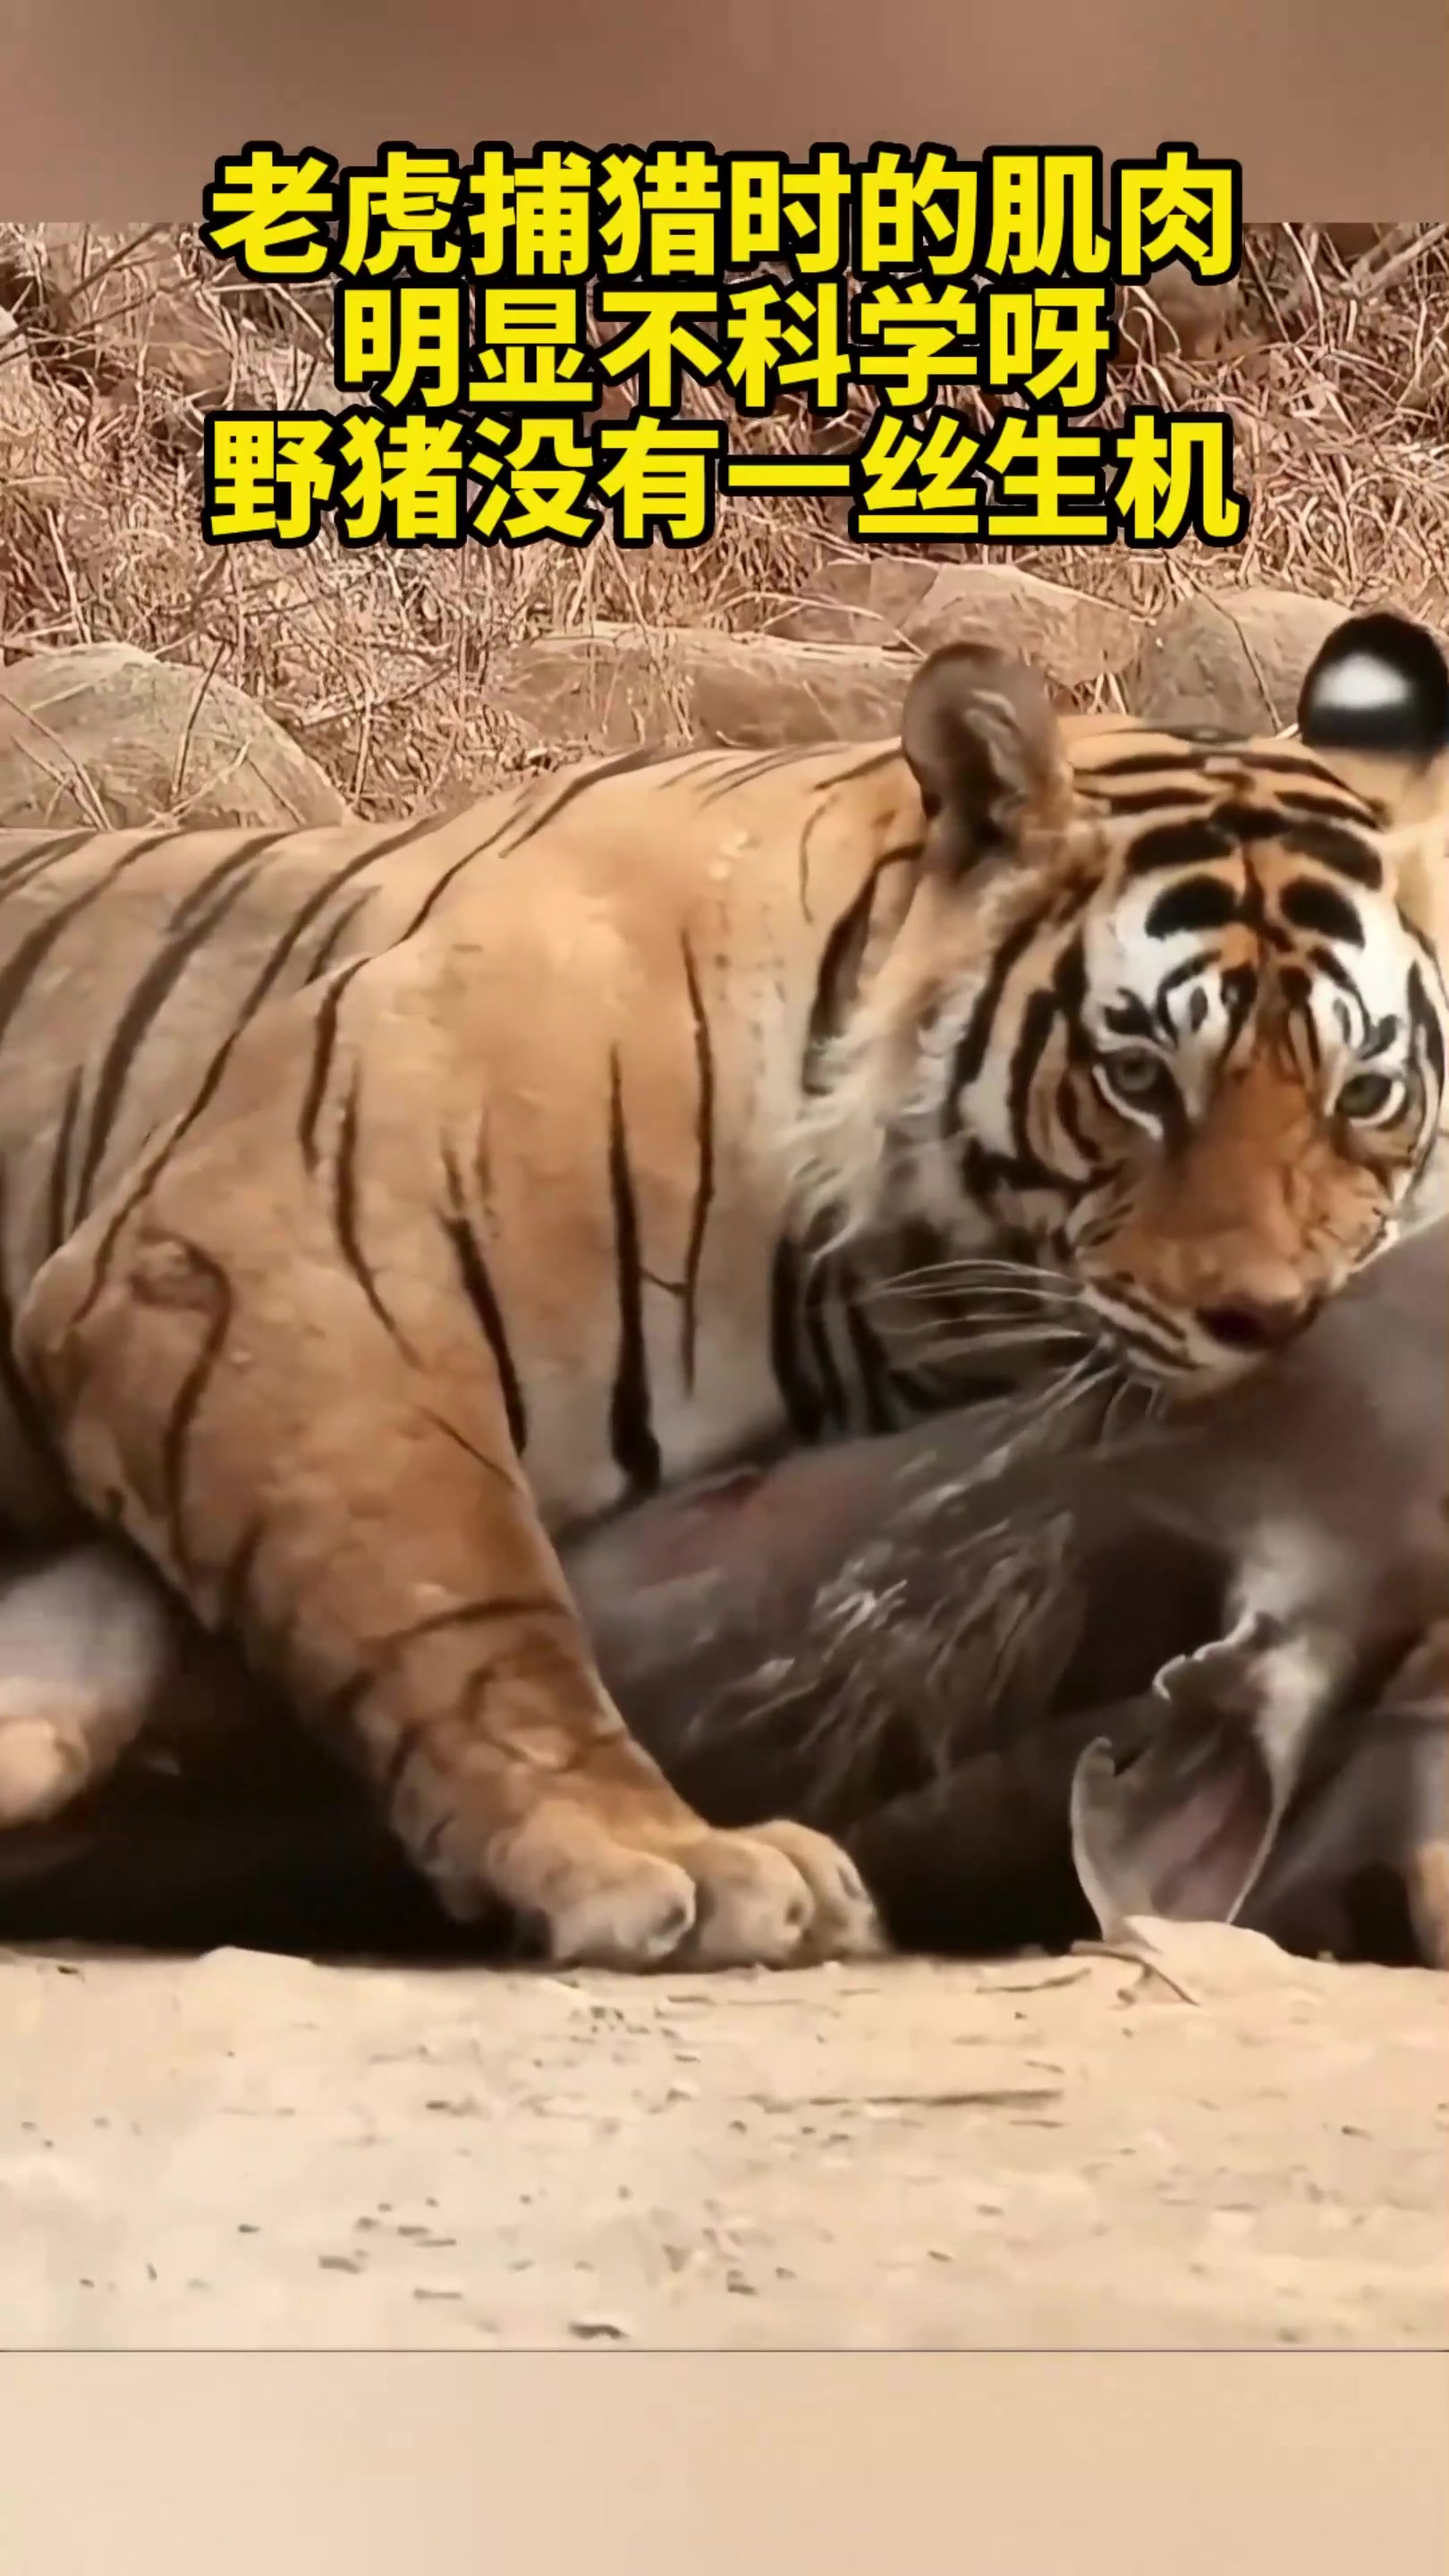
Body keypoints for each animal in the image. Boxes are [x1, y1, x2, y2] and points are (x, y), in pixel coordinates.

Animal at [0, 606, 1442, 1976]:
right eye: (1139, 1078)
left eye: (1364, 1092)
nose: (1276, 1319)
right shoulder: (273, 1263)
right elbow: (474, 1615)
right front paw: (654, 1856)